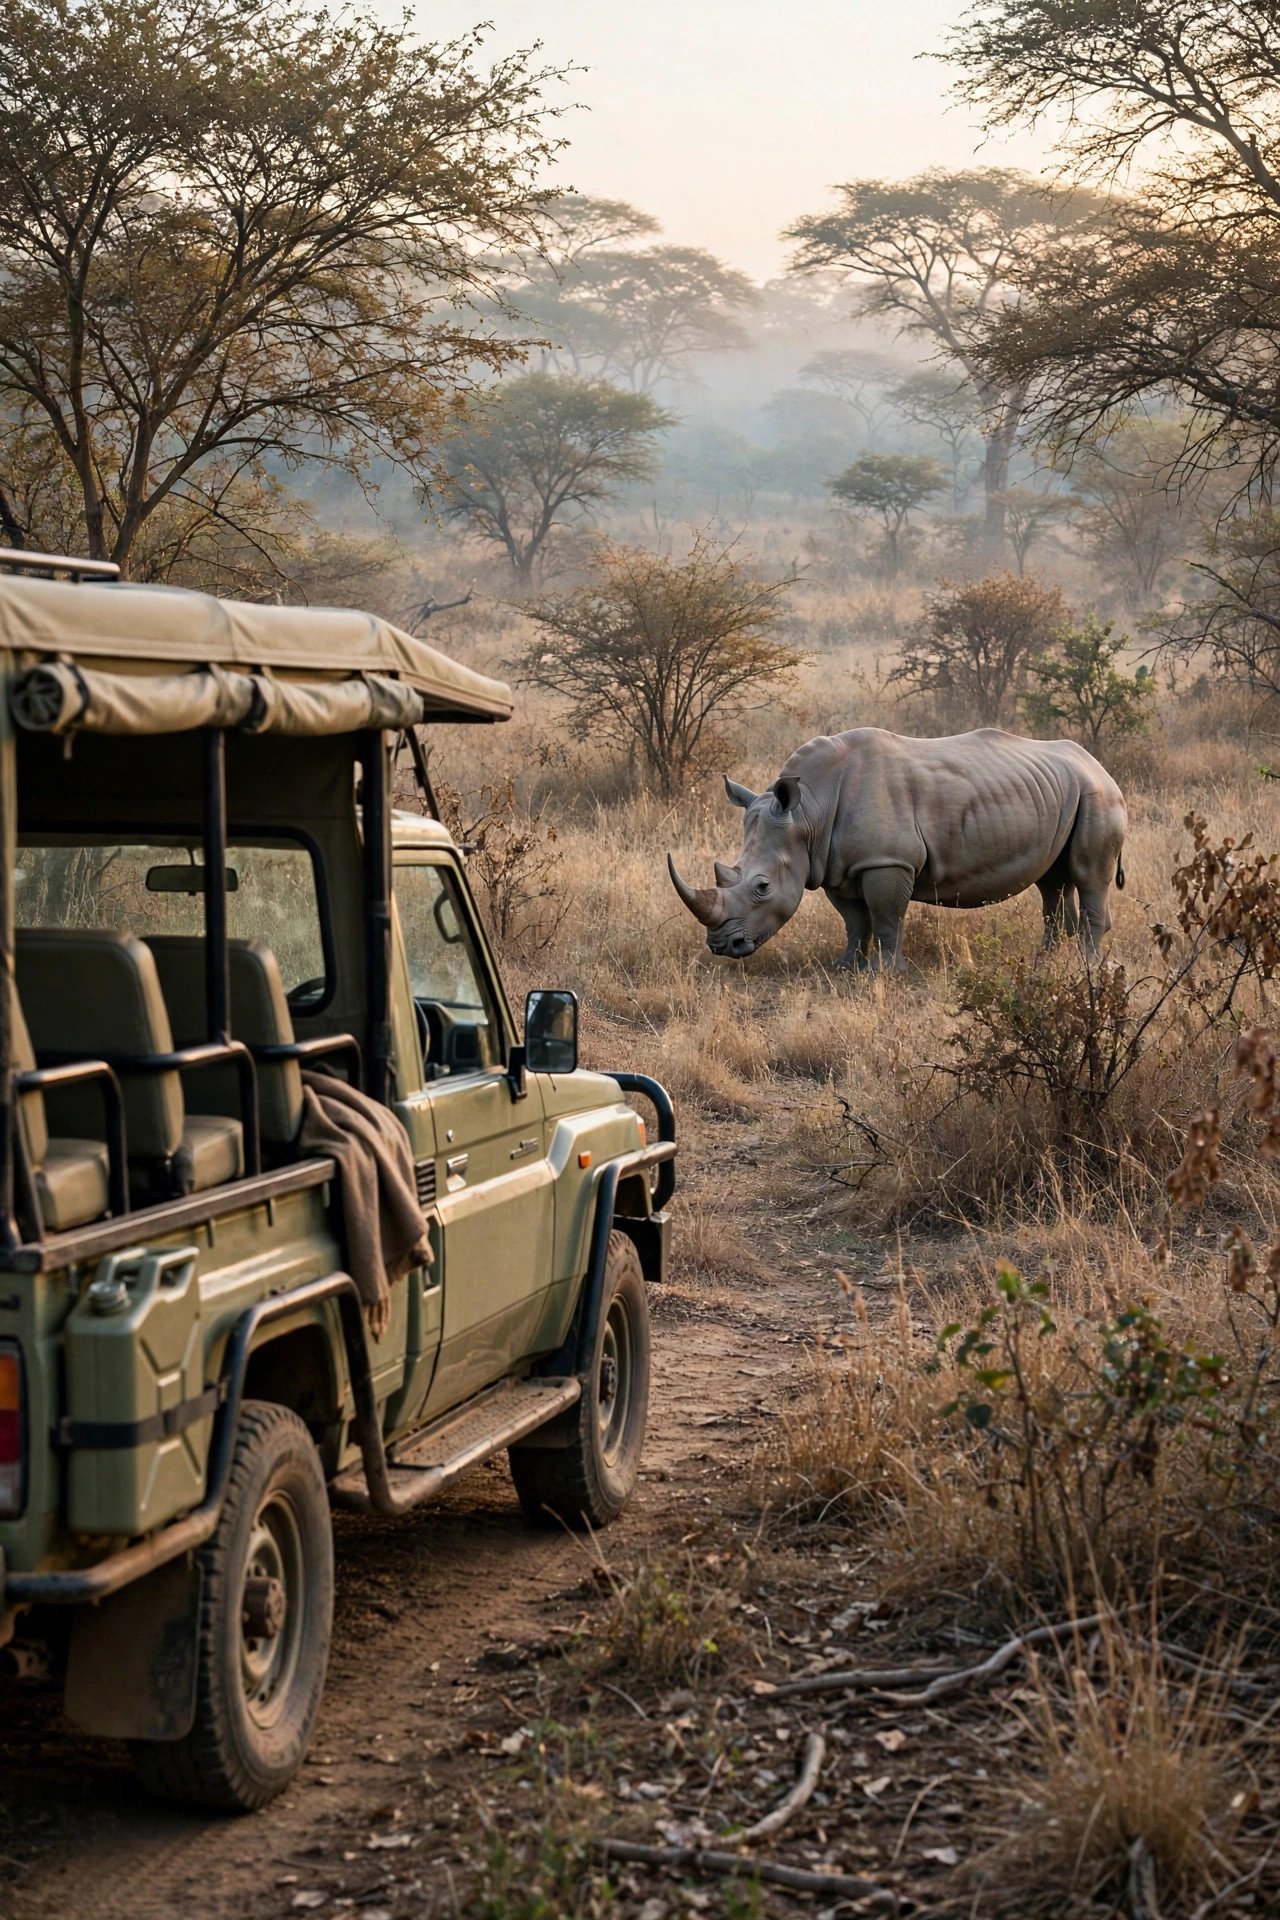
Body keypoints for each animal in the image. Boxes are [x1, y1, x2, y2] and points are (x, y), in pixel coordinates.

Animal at [668, 727, 1128, 970]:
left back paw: (1085, 966)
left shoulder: (887, 862)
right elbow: (855, 920)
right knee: (1051, 880)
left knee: (1088, 876)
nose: (722, 947)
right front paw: (846, 966)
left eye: (762, 887)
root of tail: (1099, 765)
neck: (808, 813)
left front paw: (886, 972)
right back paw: (1046, 960)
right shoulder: (836, 866)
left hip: (1099, 796)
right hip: (1066, 792)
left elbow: (887, 916)